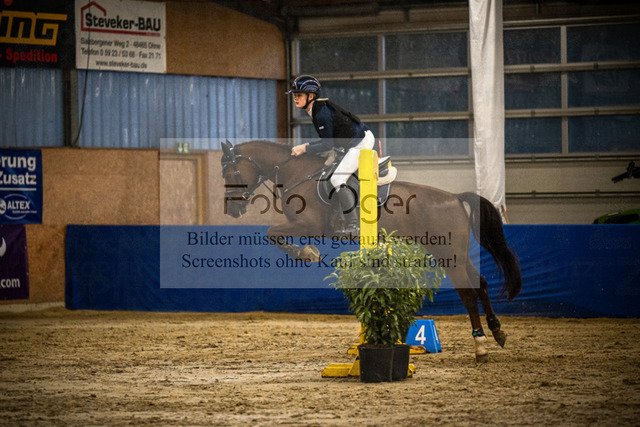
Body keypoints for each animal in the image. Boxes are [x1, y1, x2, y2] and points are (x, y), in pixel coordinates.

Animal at [221, 140, 522, 362]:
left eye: (229, 173)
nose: (233, 210)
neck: (298, 174)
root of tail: (456, 198)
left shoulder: (307, 225)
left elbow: (272, 232)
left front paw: (306, 253)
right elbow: (273, 234)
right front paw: (307, 252)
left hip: (450, 257)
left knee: (468, 293)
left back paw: (481, 345)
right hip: (458, 255)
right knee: (481, 283)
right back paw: (498, 332)